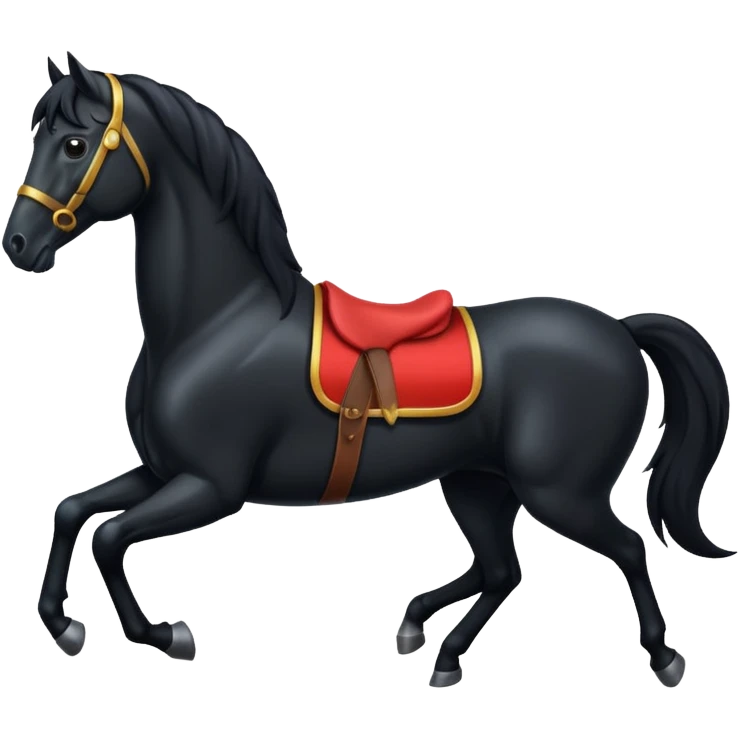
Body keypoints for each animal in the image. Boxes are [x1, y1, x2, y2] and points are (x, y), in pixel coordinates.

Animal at [5, 53, 733, 687]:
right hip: (477, 483)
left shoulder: (211, 486)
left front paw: (166, 635)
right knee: (501, 571)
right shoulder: (161, 471)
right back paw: (433, 646)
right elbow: (73, 512)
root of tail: (620, 329)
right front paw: (63, 625)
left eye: (74, 145)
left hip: (561, 492)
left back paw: (664, 658)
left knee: (624, 549)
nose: (19, 244)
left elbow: (109, 538)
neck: (219, 322)